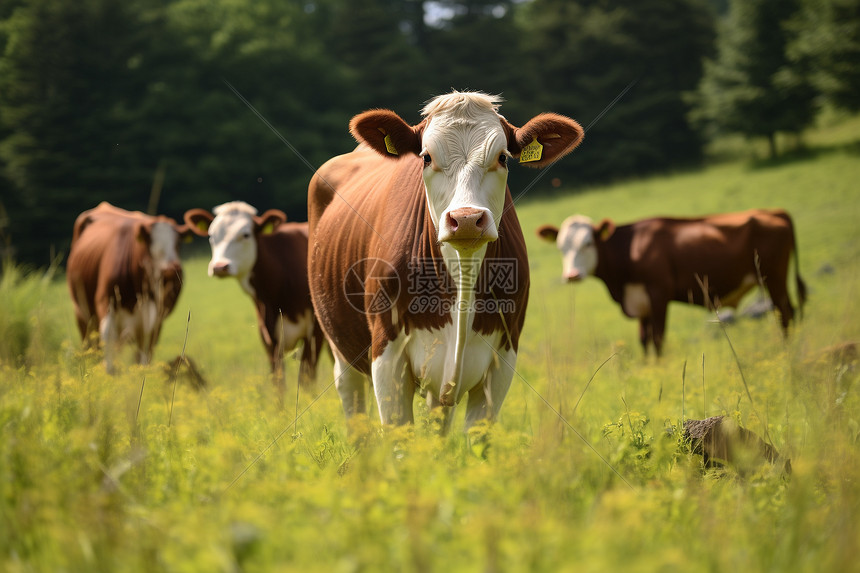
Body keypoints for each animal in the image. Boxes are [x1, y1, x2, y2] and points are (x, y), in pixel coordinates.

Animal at [67, 201, 191, 370]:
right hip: (82, 313)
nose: (172, 269)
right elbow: (108, 350)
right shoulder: (106, 303)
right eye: (150, 243)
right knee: (91, 346)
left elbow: (143, 356)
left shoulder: (151, 317)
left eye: (178, 243)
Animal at [310, 90, 584, 428]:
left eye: (502, 157)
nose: (466, 219)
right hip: (339, 346)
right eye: (426, 157)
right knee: (353, 405)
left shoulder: (503, 358)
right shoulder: (386, 358)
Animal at [536, 209, 808, 354]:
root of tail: (771, 211)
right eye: (561, 247)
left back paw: (788, 350)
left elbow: (658, 339)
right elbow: (644, 340)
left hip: (774, 279)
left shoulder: (658, 295)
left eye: (588, 243)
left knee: (785, 314)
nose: (571, 275)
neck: (631, 248)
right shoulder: (641, 302)